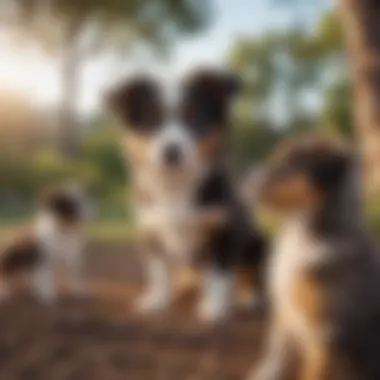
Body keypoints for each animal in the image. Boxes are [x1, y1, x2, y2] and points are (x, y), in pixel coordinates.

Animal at [105, 67, 266, 320]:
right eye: (152, 120)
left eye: (193, 117)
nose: (172, 152)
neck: (176, 185)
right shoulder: (151, 230)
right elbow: (158, 271)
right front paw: (157, 301)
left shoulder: (221, 229)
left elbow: (219, 272)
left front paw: (214, 307)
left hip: (258, 244)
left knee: (250, 274)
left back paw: (247, 297)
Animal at [246, 136, 380, 380]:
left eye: (289, 165)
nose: (245, 184)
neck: (305, 234)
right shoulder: (284, 310)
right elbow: (275, 352)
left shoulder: (323, 335)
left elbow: (312, 372)